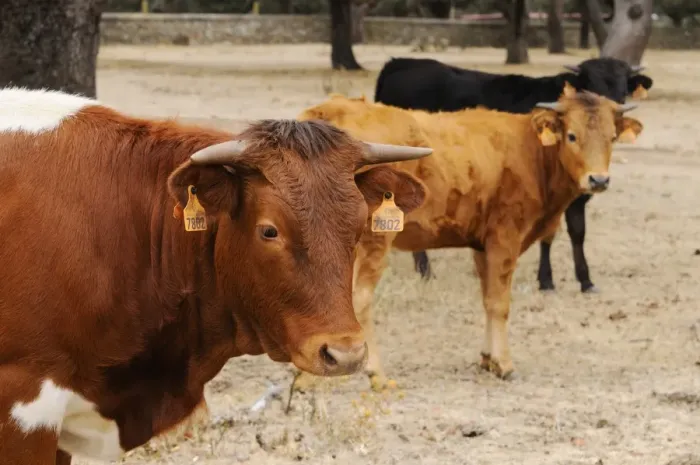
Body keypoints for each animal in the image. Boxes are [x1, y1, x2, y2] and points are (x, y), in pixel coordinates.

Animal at [293, 88, 643, 392]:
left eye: (612, 137)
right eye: (572, 135)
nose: (599, 180)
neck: (530, 153)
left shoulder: (482, 245)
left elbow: (487, 299)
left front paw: (489, 358)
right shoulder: (505, 238)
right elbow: (500, 304)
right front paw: (505, 364)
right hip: (373, 241)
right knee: (358, 300)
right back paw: (373, 374)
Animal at [374, 56, 651, 293]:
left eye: (623, 86)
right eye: (591, 84)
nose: (613, 113)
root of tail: (398, 63)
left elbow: (578, 232)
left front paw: (585, 280)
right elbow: (549, 235)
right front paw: (546, 280)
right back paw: (424, 269)